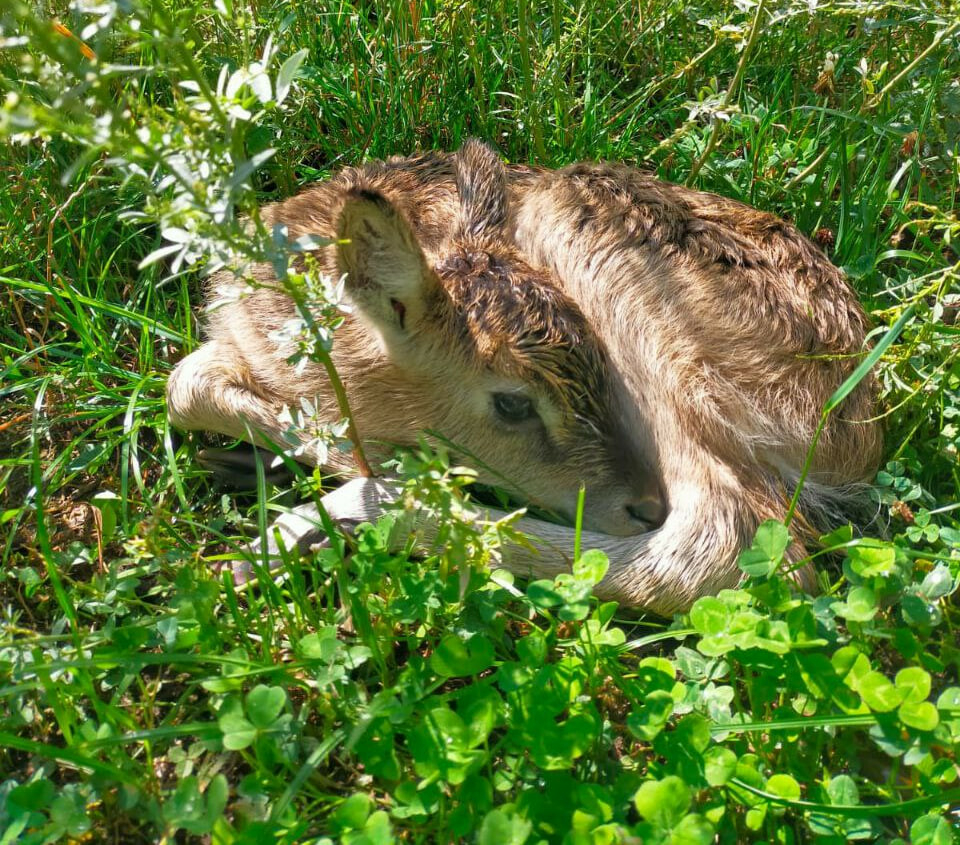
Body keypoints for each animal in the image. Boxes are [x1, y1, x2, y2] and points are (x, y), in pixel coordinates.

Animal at [165, 142, 876, 608]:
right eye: (511, 405)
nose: (639, 504)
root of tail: (860, 436)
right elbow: (184, 386)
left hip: (610, 271)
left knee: (721, 542)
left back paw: (311, 527)